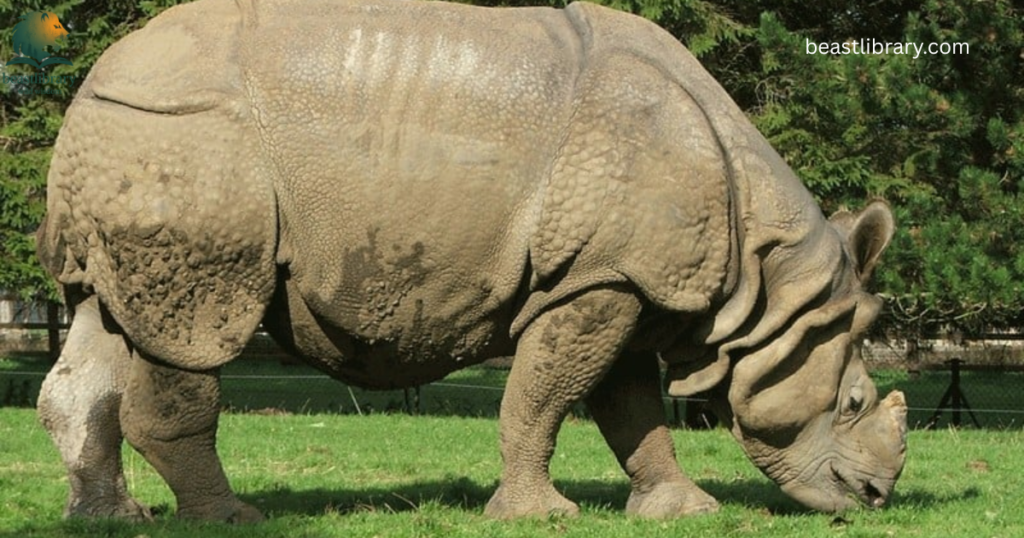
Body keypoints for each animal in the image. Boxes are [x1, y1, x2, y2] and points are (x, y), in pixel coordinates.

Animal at [35, 0, 906, 523]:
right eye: (855, 401)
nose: (872, 497)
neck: (768, 282)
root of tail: (91, 83)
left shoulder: (614, 276)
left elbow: (631, 410)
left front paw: (685, 512)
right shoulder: (596, 280)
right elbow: (543, 397)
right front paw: (542, 517)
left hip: (137, 143)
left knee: (103, 319)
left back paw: (109, 521)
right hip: (185, 144)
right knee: (196, 331)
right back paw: (231, 520)